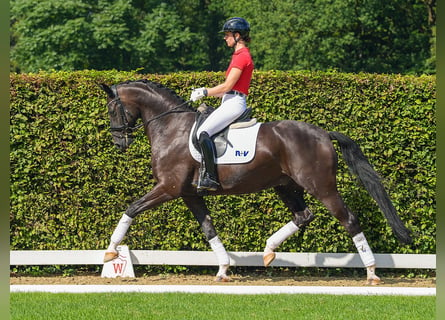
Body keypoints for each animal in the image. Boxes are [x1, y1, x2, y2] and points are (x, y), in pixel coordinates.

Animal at [99, 80, 410, 284]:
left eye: (113, 109)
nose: (118, 143)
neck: (171, 128)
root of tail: (322, 133)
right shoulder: (189, 194)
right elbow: (209, 229)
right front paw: (224, 269)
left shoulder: (168, 188)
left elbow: (131, 208)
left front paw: (111, 251)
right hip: (284, 185)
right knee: (303, 215)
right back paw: (268, 251)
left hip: (321, 186)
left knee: (349, 219)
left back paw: (372, 272)